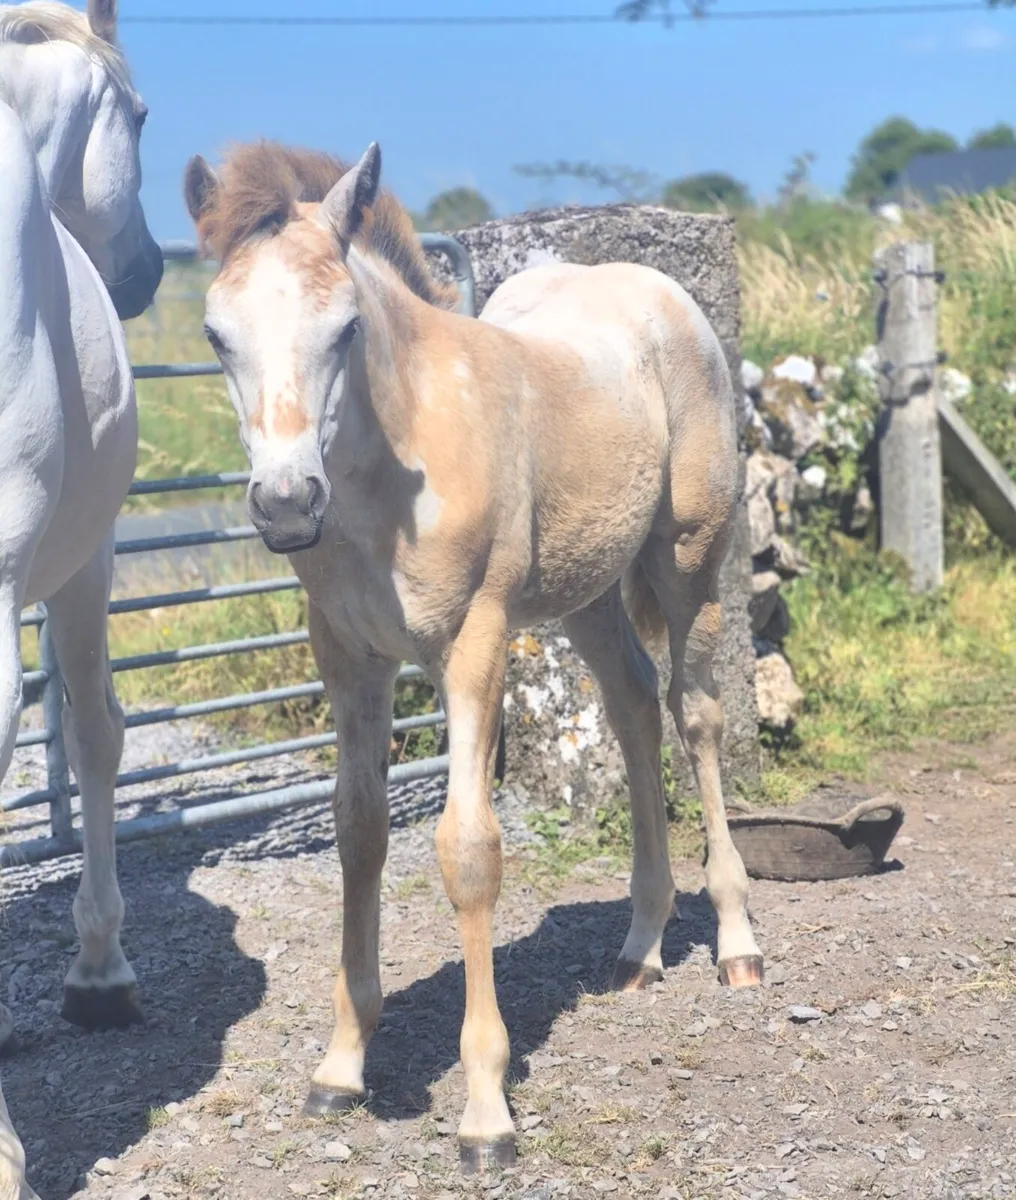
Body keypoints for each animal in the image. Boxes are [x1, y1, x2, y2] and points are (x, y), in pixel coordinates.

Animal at [183, 138, 763, 1174]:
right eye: (216, 334)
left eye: (343, 329)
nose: (287, 503)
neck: (391, 477)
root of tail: (659, 290)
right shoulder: (348, 658)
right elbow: (360, 830)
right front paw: (341, 1066)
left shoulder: (476, 643)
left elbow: (468, 849)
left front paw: (486, 1110)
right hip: (583, 591)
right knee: (632, 708)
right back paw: (640, 947)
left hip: (688, 555)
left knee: (696, 716)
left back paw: (735, 939)